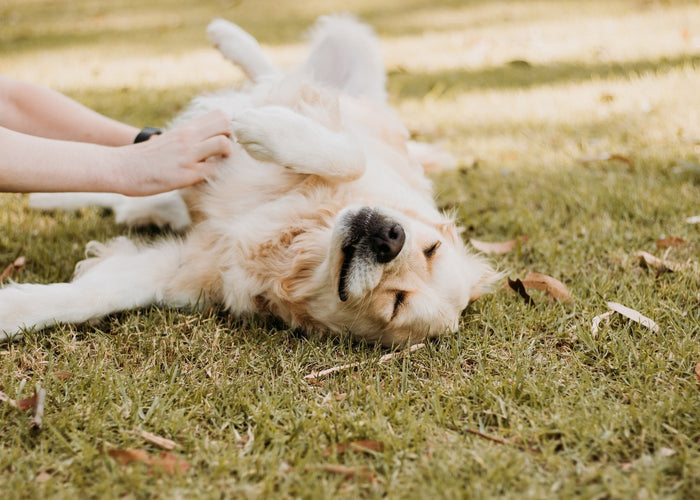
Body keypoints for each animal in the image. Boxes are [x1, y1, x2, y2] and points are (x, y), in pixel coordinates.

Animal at [0, 14, 498, 344]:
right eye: (432, 248)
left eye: (397, 304)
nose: (390, 236)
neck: (297, 242)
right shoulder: (351, 143)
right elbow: (348, 153)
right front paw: (265, 127)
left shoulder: (186, 266)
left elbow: (97, 295)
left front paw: (12, 311)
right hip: (349, 42)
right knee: (276, 72)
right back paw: (228, 37)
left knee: (132, 200)